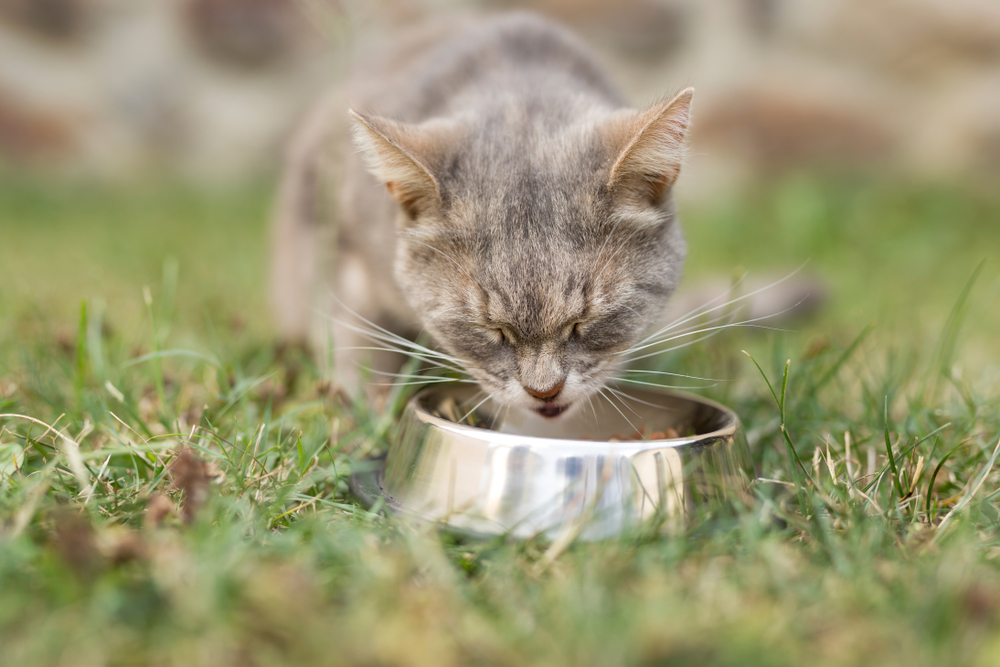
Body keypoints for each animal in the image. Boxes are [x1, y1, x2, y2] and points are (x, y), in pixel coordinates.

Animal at [274, 13, 696, 420]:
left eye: (583, 323)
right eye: (491, 330)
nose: (545, 392)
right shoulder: (340, 243)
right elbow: (351, 331)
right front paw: (367, 403)